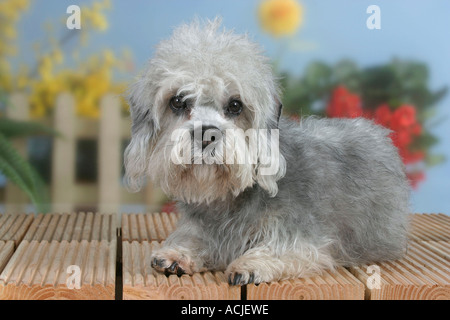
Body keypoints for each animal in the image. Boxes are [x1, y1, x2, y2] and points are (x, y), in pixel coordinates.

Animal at [124, 18, 412, 284]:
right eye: (177, 101)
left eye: (235, 105)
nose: (206, 134)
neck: (227, 200)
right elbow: (193, 237)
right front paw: (177, 253)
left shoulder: (305, 236)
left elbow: (284, 249)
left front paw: (252, 264)